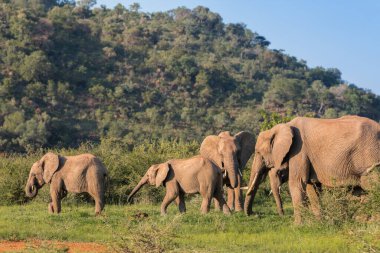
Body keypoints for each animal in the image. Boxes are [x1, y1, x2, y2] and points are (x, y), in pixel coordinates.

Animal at [245, 115, 378, 223]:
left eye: (258, 152)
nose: (252, 214)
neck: (283, 126)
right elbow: (312, 187)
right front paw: (319, 223)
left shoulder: (299, 150)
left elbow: (297, 183)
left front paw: (297, 226)